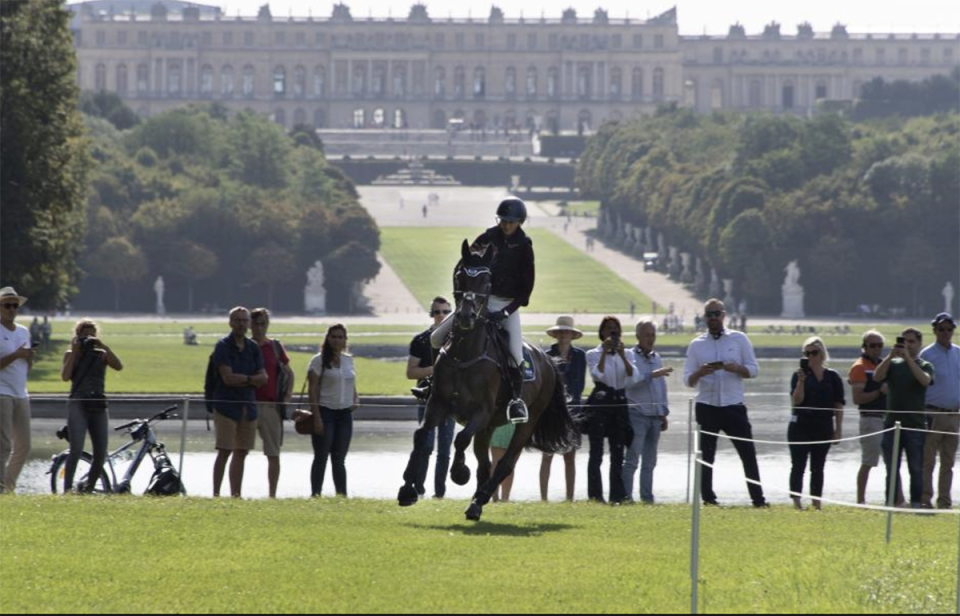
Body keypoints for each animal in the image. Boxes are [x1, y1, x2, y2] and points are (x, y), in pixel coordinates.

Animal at [396, 239, 580, 520]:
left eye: (486, 281)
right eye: (460, 275)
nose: (465, 316)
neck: (465, 353)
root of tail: (549, 361)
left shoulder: (480, 412)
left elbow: (460, 439)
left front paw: (459, 473)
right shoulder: (438, 404)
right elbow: (421, 435)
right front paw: (407, 489)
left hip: (525, 423)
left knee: (505, 463)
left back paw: (477, 501)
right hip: (489, 427)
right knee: (486, 463)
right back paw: (476, 501)